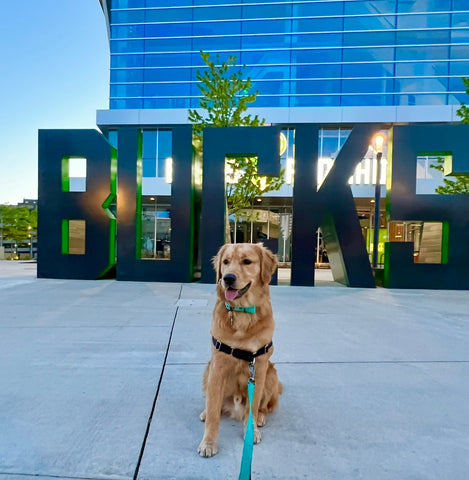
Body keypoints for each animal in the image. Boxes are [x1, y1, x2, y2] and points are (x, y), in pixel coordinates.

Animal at [196, 244, 280, 458]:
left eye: (246, 261)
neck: (242, 314)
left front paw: (251, 430)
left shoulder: (259, 367)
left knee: (262, 407)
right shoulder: (218, 365)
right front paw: (209, 442)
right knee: (213, 404)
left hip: (272, 374)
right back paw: (206, 412)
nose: (228, 278)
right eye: (225, 262)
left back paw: (260, 417)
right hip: (208, 370)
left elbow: (253, 407)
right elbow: (213, 413)